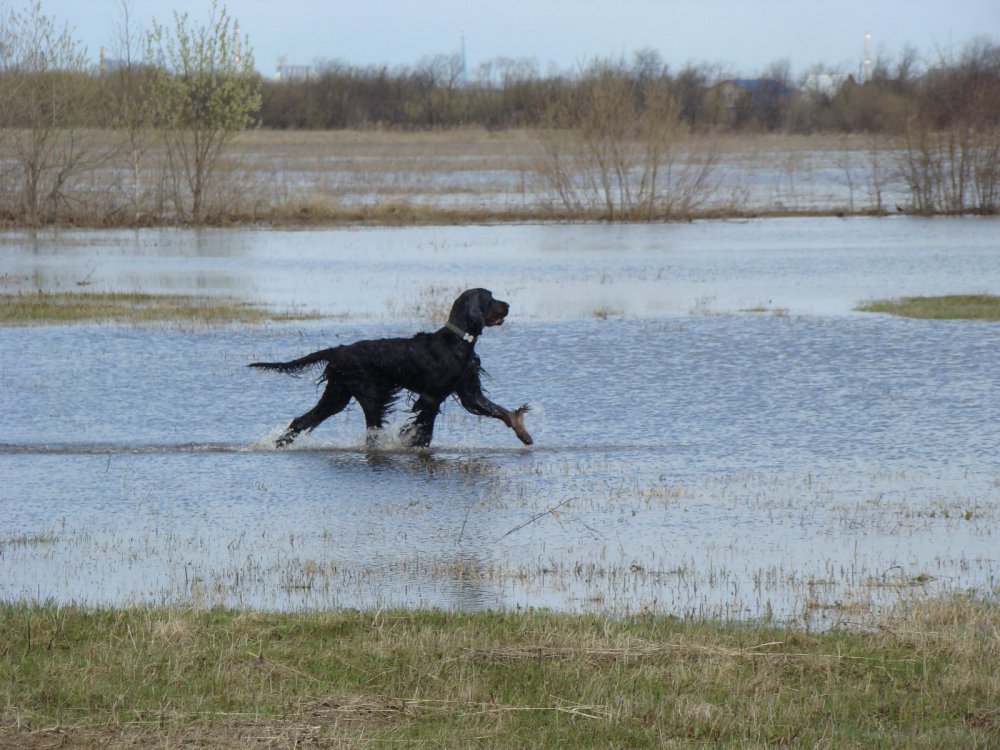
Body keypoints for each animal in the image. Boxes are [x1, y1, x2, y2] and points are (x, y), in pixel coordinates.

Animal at [249, 290, 532, 450]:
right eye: (490, 299)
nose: (508, 306)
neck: (458, 340)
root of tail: (337, 350)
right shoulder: (431, 397)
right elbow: (423, 429)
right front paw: (412, 444)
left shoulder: (468, 391)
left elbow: (501, 411)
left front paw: (523, 431)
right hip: (371, 395)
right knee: (371, 431)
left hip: (337, 394)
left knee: (302, 420)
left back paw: (279, 444)